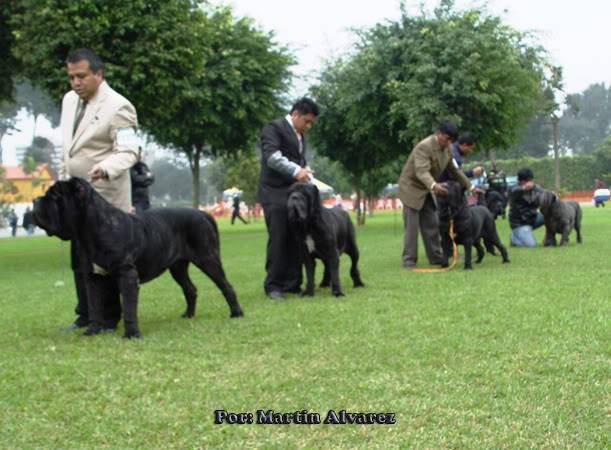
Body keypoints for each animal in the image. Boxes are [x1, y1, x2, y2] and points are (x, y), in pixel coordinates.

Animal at [34, 178, 244, 340]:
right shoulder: (93, 278)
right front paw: (92, 331)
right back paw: (188, 315)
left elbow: (128, 307)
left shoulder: (127, 275)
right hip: (177, 267)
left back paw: (236, 313)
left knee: (226, 286)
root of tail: (202, 213)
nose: (36, 200)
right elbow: (94, 307)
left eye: (55, 197)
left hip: (207, 259)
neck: (91, 229)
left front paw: (132, 334)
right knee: (190, 289)